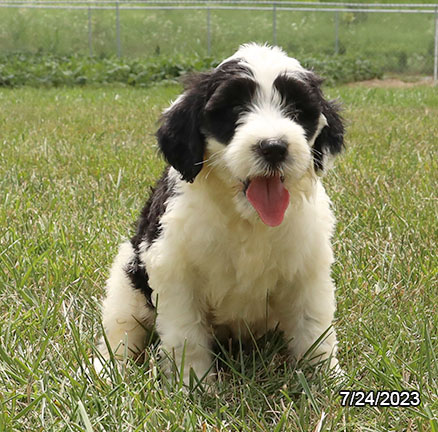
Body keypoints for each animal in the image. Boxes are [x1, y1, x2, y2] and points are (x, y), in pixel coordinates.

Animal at [96, 43, 346, 382]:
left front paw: (327, 380)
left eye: (295, 112)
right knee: (120, 329)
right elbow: (187, 337)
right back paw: (105, 370)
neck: (246, 217)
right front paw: (196, 385)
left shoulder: (307, 268)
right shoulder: (174, 271)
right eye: (234, 110)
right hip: (128, 279)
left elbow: (313, 328)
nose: (273, 147)